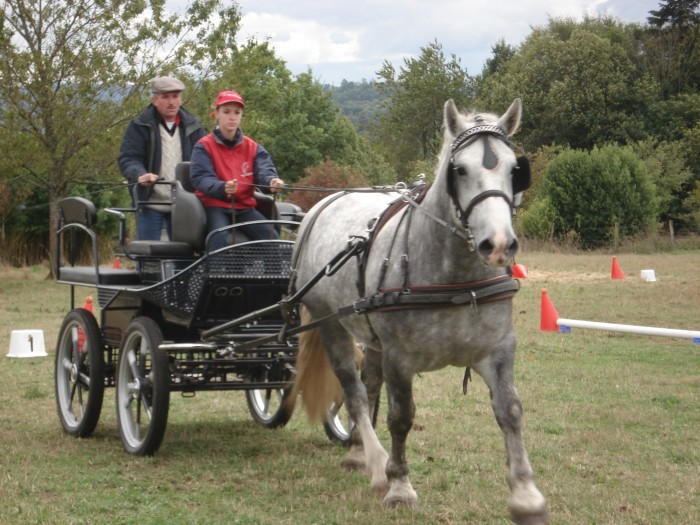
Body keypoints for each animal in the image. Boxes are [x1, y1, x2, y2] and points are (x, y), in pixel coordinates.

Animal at [288, 99, 548, 524]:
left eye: (515, 170)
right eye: (459, 170)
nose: (497, 245)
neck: (454, 277)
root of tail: (322, 203)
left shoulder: (499, 350)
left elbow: (510, 411)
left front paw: (526, 496)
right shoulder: (400, 357)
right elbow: (401, 417)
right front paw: (399, 486)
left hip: (369, 334)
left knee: (368, 385)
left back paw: (358, 451)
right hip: (332, 324)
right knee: (354, 391)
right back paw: (376, 462)